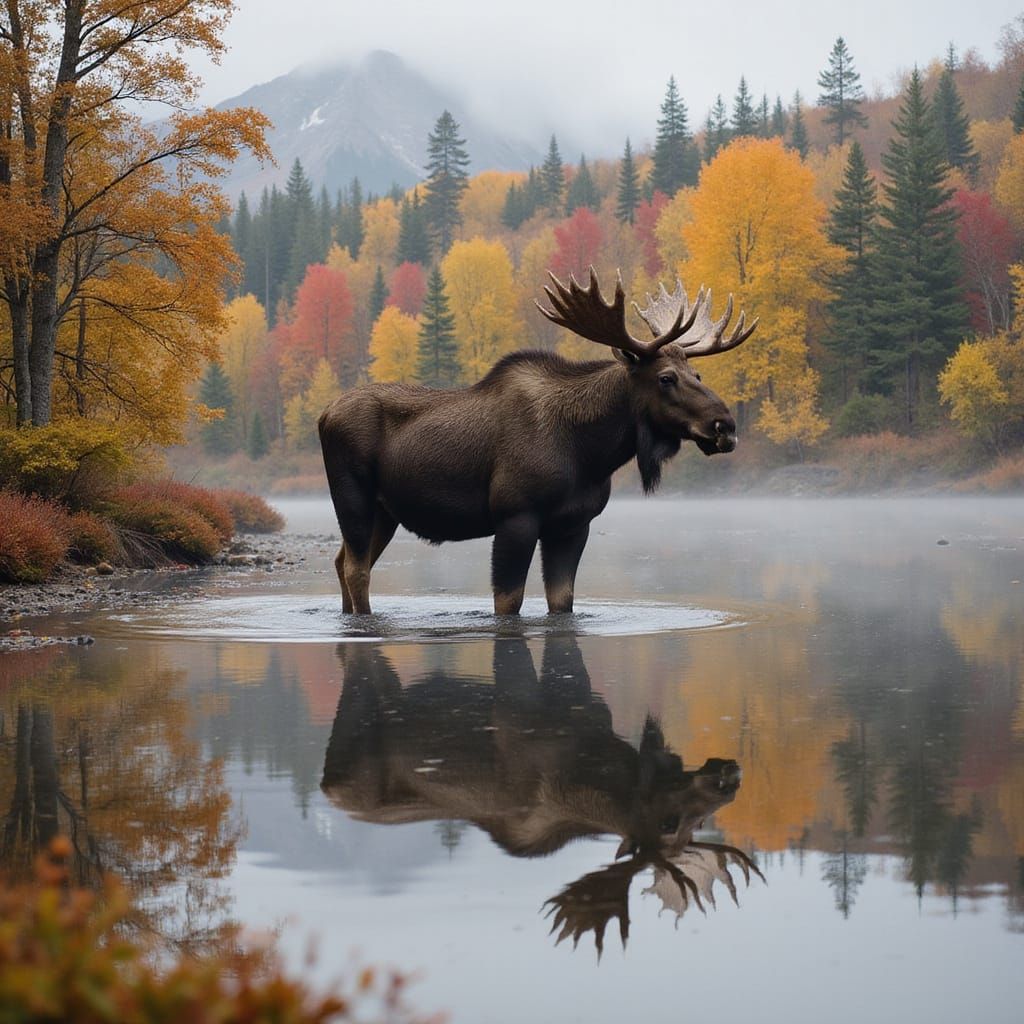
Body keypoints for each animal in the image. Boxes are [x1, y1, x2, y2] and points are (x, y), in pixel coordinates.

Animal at [318, 268, 757, 614]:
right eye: (666, 378)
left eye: (697, 375)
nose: (725, 426)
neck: (589, 453)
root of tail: (324, 415)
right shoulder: (516, 515)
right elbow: (508, 602)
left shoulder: (574, 525)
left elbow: (562, 601)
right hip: (352, 497)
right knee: (357, 569)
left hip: (385, 511)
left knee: (342, 561)